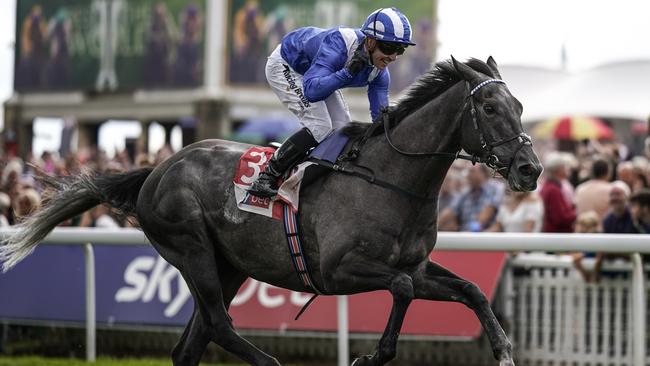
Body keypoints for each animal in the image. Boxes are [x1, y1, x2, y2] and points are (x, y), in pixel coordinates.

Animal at [1, 57, 540, 366]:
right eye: (490, 108)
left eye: (518, 103)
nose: (530, 168)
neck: (394, 180)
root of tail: (157, 169)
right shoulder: (340, 269)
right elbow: (403, 290)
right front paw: (372, 357)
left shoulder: (416, 265)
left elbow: (469, 290)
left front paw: (503, 349)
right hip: (191, 248)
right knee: (219, 325)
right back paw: (269, 363)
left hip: (229, 265)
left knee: (190, 345)